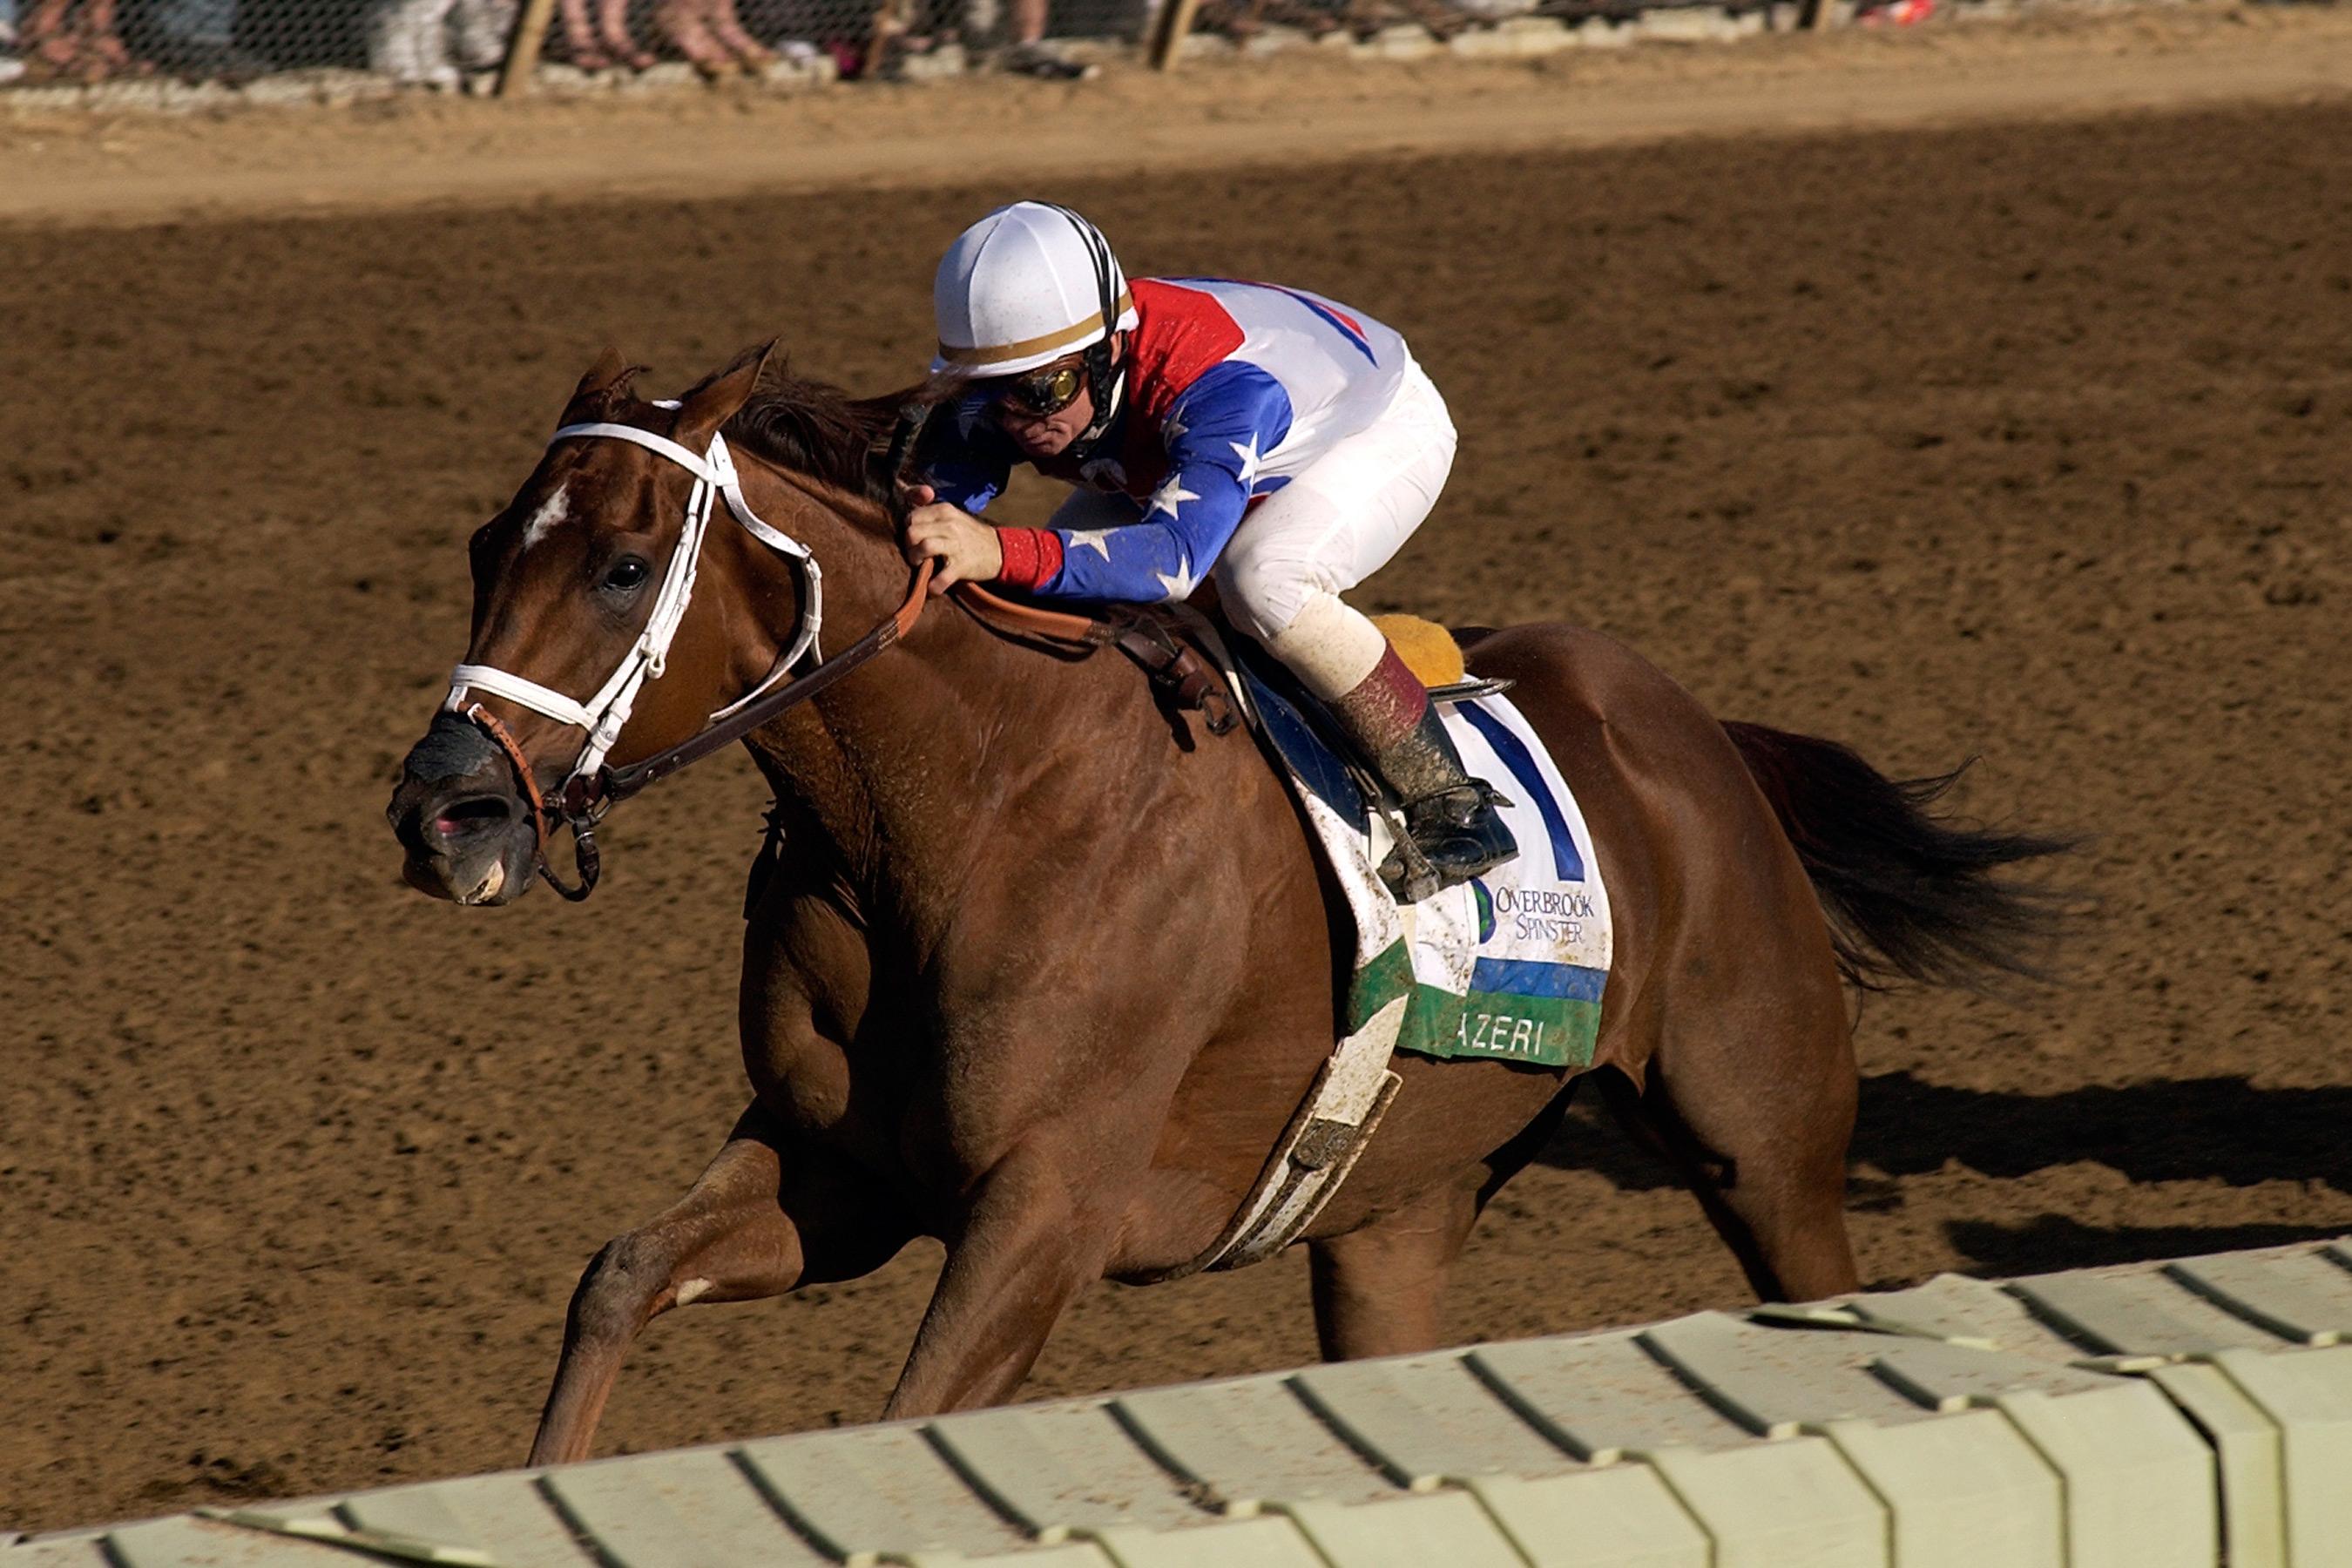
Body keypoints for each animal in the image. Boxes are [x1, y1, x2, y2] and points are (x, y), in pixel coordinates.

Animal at [381, 345, 2060, 1476]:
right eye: (480, 547)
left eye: (621, 566)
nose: (441, 811)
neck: (972, 803)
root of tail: (1698, 735)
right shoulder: (838, 1168)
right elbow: (617, 1280)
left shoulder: (1044, 1211)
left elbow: (915, 1406)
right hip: (1395, 1212)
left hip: (1765, 1143)